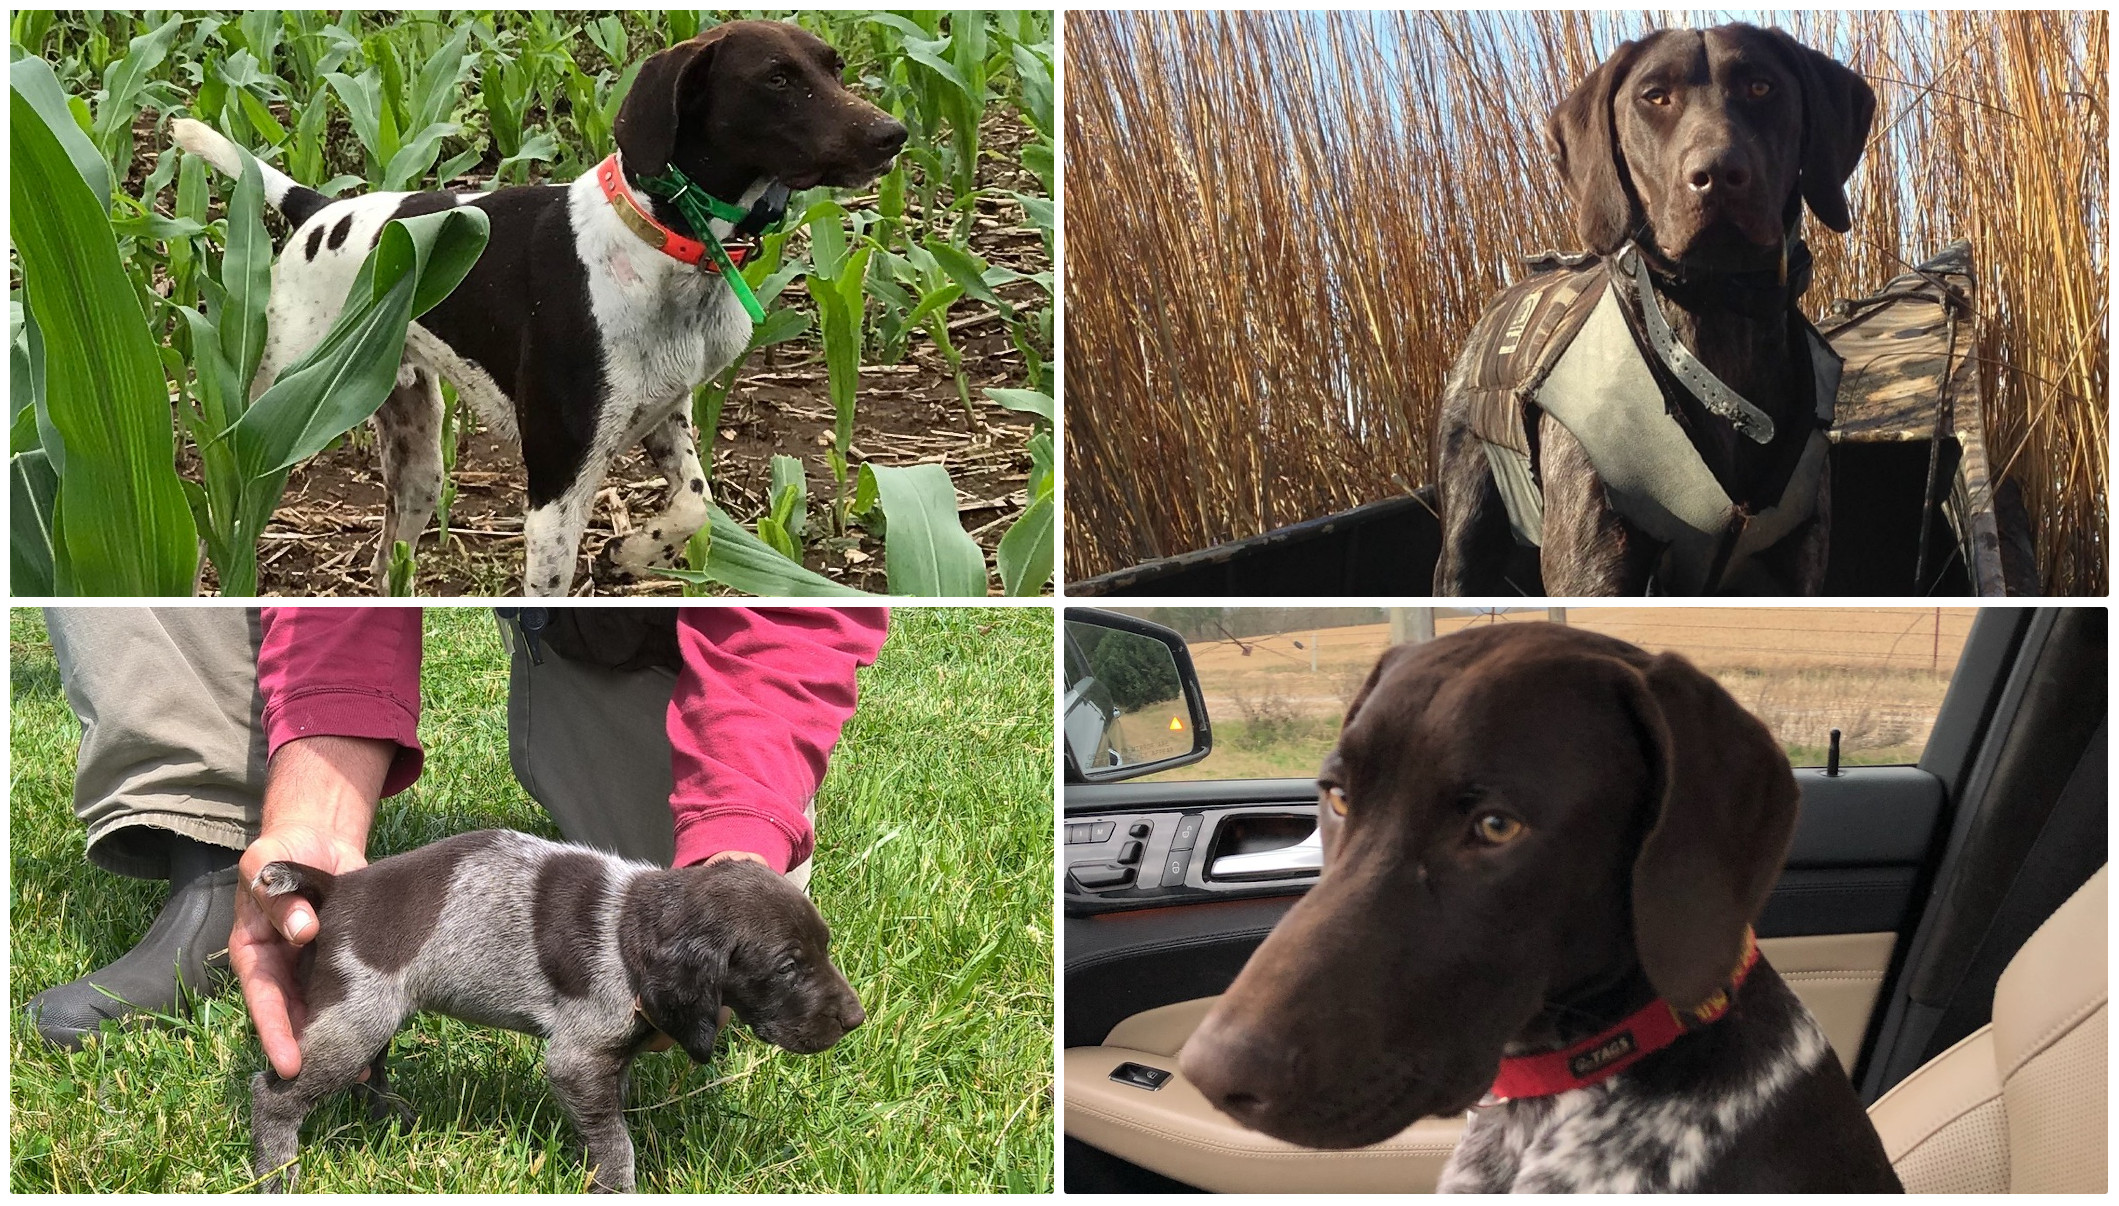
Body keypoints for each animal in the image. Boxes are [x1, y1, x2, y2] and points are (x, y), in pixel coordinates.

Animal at [177, 21, 906, 593]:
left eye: (833, 67)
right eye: (777, 79)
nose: (893, 133)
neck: (660, 239)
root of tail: (320, 210)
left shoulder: (667, 415)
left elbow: (694, 506)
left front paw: (628, 553)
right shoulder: (557, 483)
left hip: (417, 459)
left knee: (388, 561)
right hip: (274, 419)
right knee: (228, 510)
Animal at [250, 822, 868, 1186]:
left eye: (825, 948)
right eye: (788, 967)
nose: (856, 1019)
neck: (636, 928)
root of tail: (336, 888)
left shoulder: (609, 1062)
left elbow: (608, 1115)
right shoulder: (579, 1058)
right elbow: (615, 1142)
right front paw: (616, 1183)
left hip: (374, 1011)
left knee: (369, 1069)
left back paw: (386, 1114)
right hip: (357, 1016)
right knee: (275, 1095)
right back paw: (277, 1174)